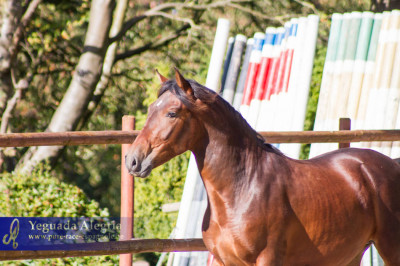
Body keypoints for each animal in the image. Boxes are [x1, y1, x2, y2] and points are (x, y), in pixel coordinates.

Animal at [126, 69, 400, 266]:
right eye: (150, 109)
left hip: (390, 249)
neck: (242, 189)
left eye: (172, 113)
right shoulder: (224, 262)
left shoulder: (266, 260)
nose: (132, 160)